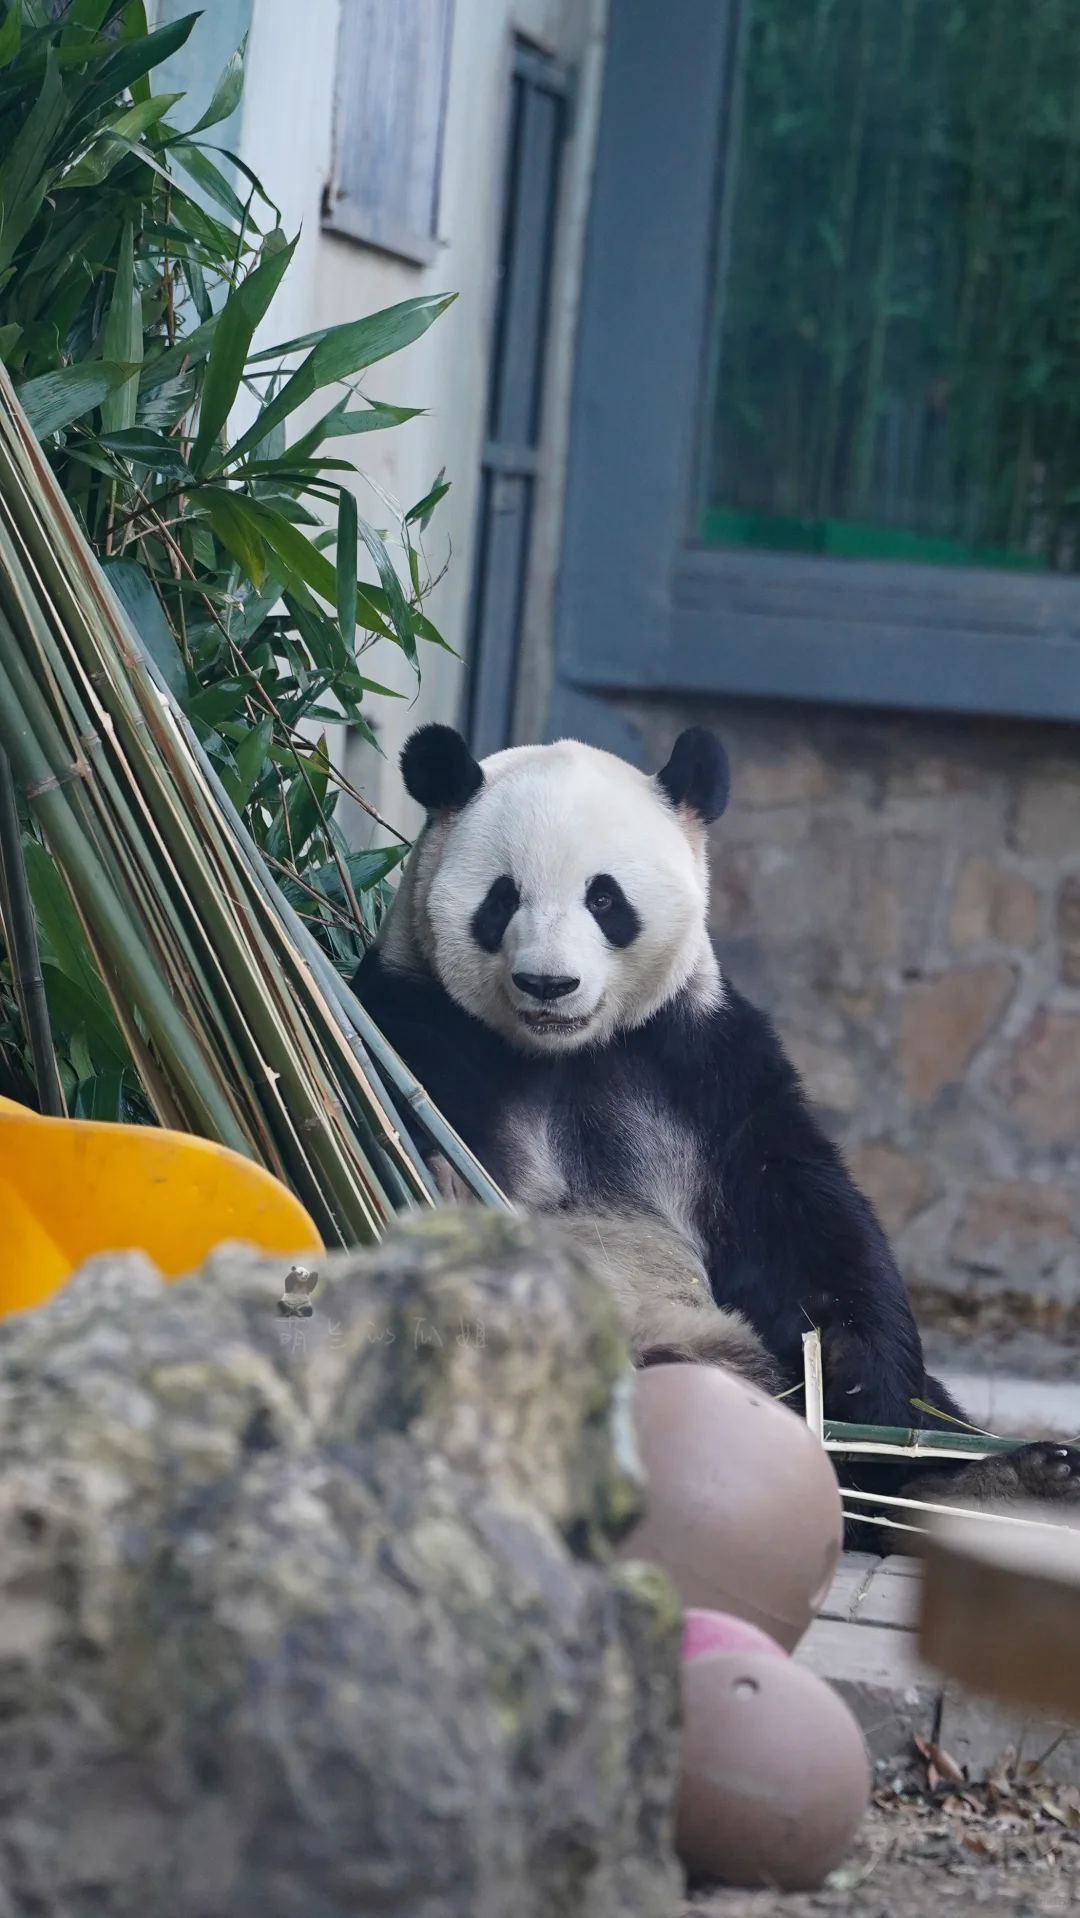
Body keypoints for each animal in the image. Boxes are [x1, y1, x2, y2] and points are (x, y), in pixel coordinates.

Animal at [356, 721, 1080, 1526]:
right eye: (502, 898)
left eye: (604, 898)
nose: (549, 983)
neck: (564, 1054)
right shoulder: (417, 1032)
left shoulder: (702, 1065)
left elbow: (805, 1217)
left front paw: (858, 1381)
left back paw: (1013, 1475)